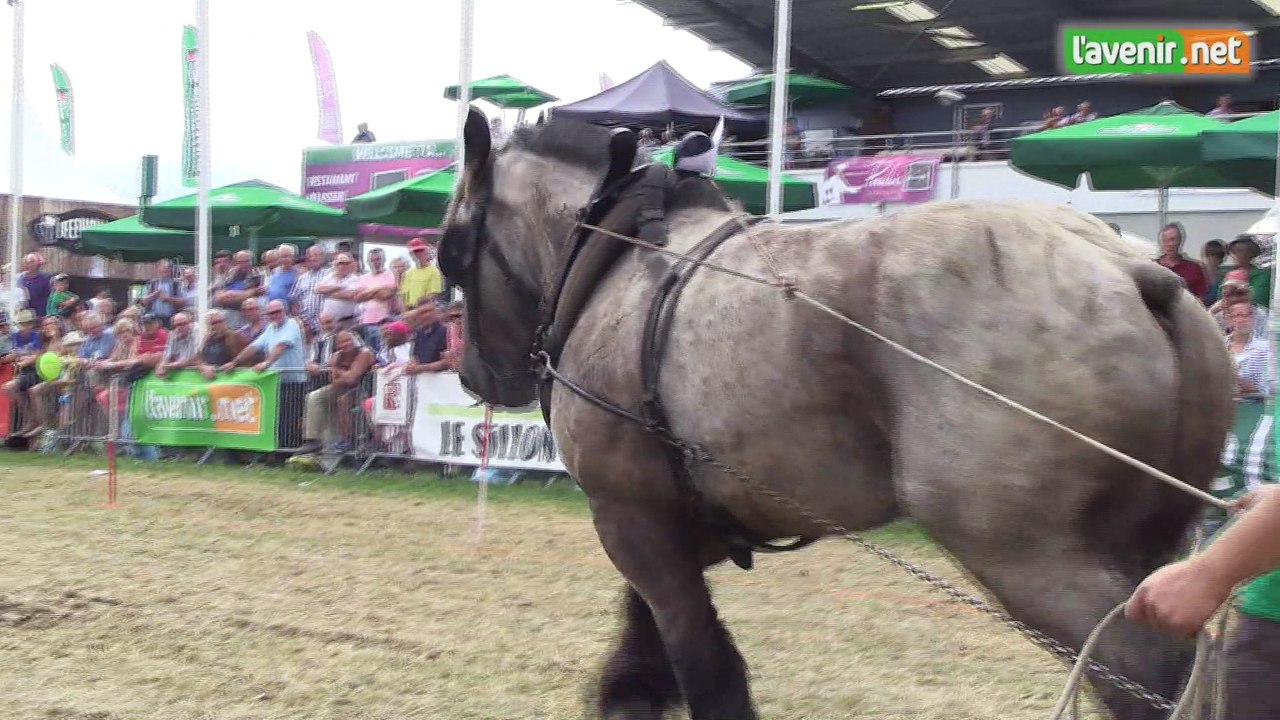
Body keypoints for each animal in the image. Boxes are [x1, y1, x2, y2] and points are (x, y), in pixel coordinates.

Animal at [439, 108, 1235, 720]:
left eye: (450, 255)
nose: (473, 373)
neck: (614, 256)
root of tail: (1133, 270)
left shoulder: (630, 517)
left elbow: (703, 662)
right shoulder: (692, 519)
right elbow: (647, 636)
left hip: (1035, 557)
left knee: (1143, 675)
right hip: (1151, 557)